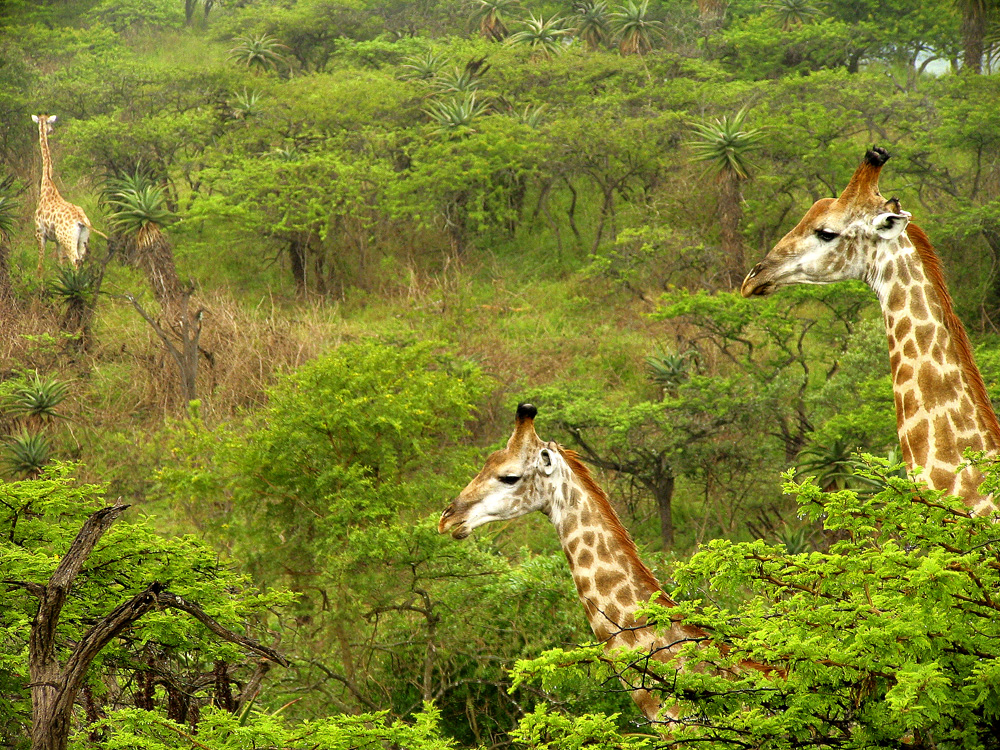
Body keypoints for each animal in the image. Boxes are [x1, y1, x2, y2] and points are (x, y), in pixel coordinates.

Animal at [31, 111, 103, 276]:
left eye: (50, 123)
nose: (51, 130)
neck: (47, 185)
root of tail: (81, 220)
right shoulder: (57, 240)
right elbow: (60, 261)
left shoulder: (40, 233)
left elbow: (40, 263)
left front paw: (39, 279)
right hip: (82, 240)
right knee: (80, 260)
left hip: (68, 239)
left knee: (75, 261)